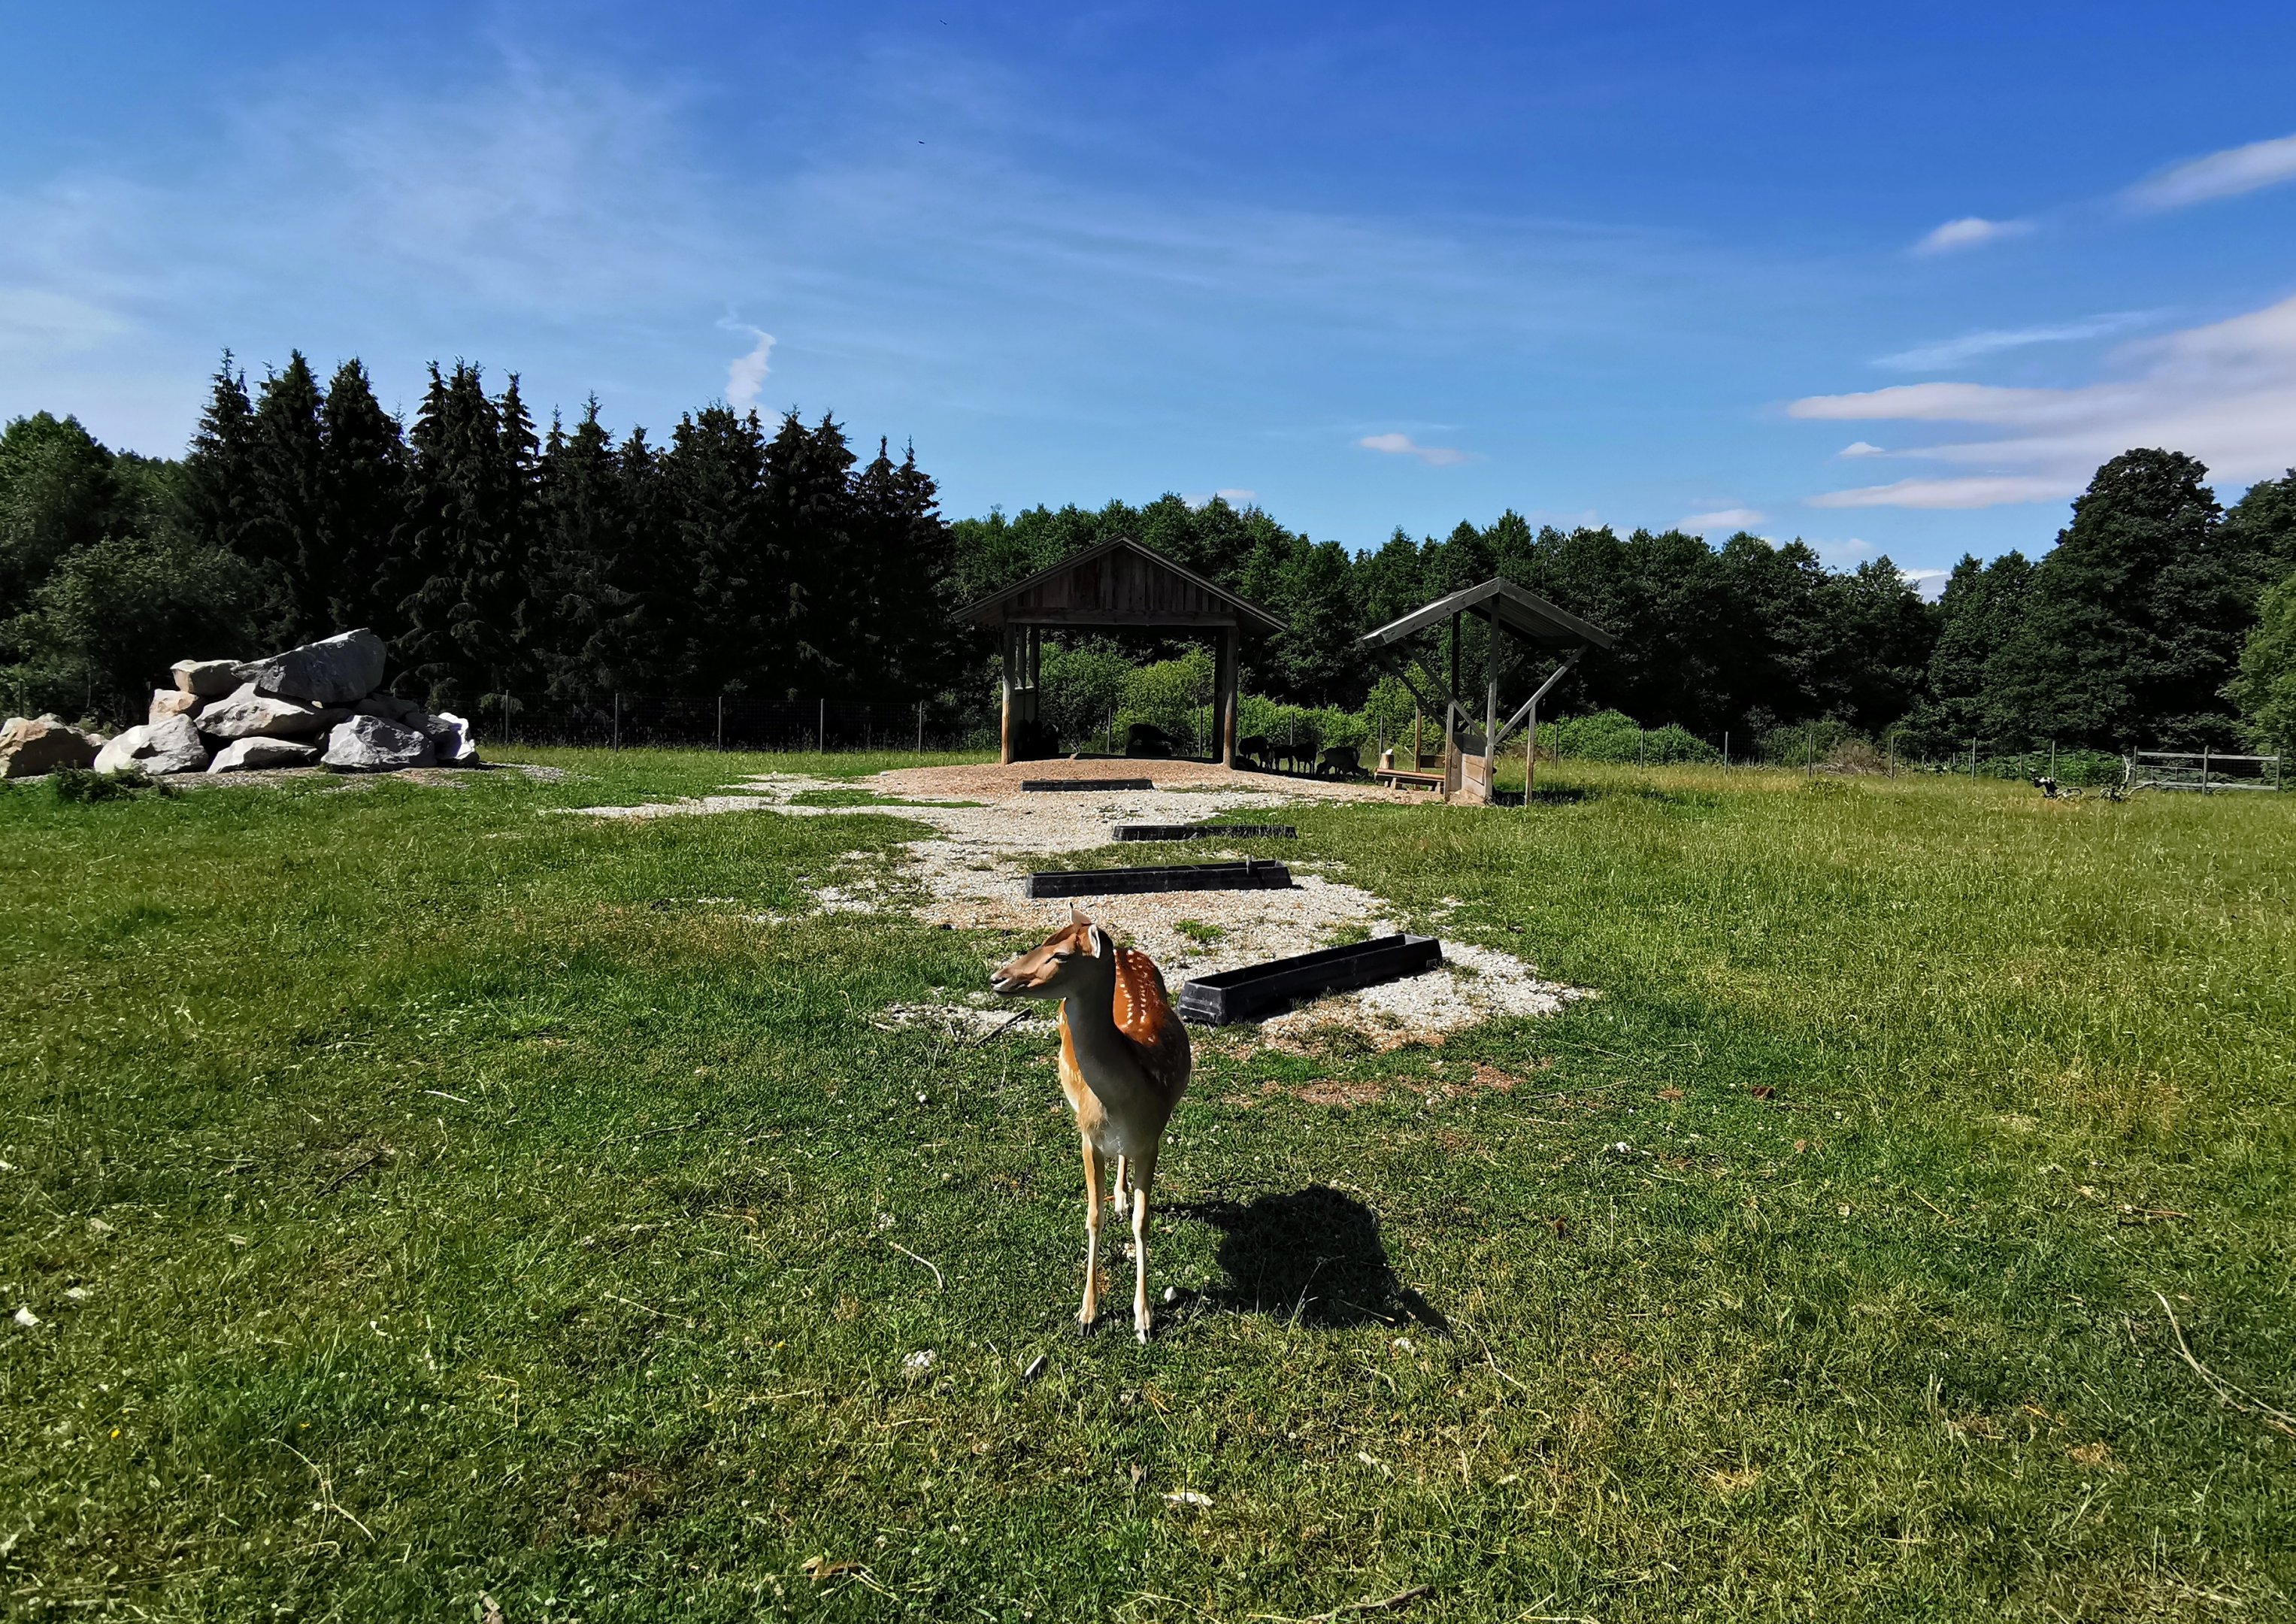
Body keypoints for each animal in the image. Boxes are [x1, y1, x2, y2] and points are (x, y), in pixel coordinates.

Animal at [991, 907, 1191, 1341]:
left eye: (1062, 955)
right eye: (1041, 940)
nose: (998, 977)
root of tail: (1128, 950)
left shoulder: (1152, 1138)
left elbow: (1142, 1221)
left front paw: (1144, 1320)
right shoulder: (1087, 1135)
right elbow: (1092, 1216)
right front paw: (1087, 1314)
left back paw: (1121, 1196)